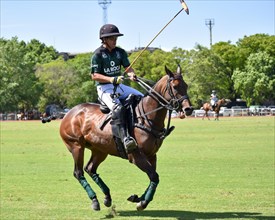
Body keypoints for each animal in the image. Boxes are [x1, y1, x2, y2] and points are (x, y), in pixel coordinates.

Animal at [59, 65, 193, 211]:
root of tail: (68, 113)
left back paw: (107, 197)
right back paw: (94, 200)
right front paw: (142, 202)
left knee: (90, 168)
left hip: (100, 150)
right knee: (78, 173)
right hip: (76, 146)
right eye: (175, 86)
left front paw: (138, 198)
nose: (189, 109)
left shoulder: (152, 155)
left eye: (186, 85)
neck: (146, 117)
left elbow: (153, 177)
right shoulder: (136, 156)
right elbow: (154, 176)